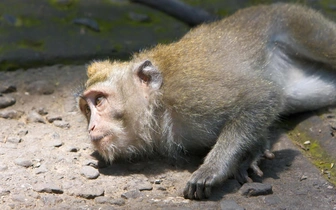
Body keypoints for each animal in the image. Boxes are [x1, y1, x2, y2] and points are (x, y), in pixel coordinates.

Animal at [77, 3, 336, 200]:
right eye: (87, 111)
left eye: (99, 101)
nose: (91, 127)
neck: (159, 108)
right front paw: (255, 149)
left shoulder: (191, 93)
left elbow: (263, 96)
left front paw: (213, 169)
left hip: (298, 21)